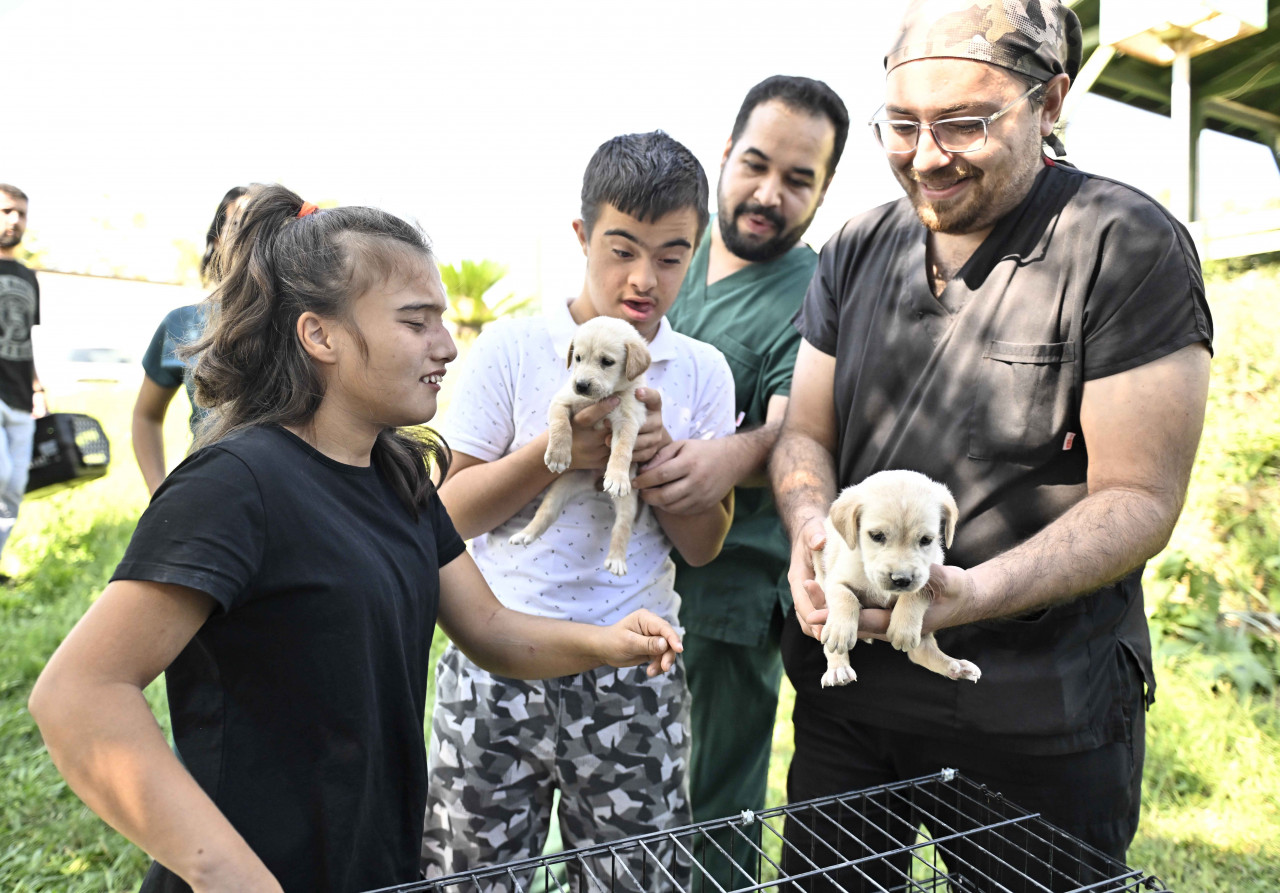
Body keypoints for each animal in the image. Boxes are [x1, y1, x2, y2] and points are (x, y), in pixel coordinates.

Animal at [506, 316, 650, 573]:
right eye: (578, 358)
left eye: (607, 362)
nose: (581, 385)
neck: (600, 399)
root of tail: (594, 484)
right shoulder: (562, 401)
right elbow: (560, 426)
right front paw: (557, 455)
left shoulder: (628, 421)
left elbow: (622, 450)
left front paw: (617, 477)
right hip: (561, 487)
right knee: (545, 512)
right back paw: (525, 534)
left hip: (628, 502)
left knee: (622, 527)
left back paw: (617, 559)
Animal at [808, 470, 977, 685]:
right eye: (877, 536)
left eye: (926, 540)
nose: (901, 579)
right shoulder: (836, 579)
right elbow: (846, 597)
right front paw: (840, 631)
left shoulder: (929, 575)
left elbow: (916, 592)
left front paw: (903, 628)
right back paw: (838, 670)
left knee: (921, 651)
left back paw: (957, 667)